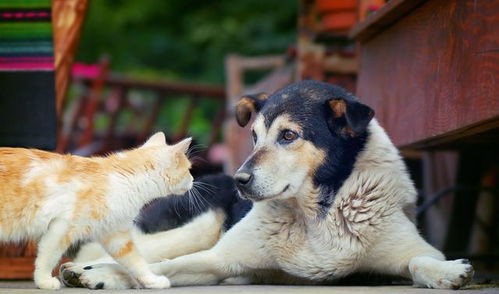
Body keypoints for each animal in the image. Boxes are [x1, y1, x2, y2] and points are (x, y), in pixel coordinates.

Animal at [0, 133, 193, 290]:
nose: (193, 179)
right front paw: (44, 281)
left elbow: (136, 262)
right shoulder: (61, 228)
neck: (124, 178)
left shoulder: (116, 236)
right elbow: (48, 257)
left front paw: (152, 280)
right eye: (189, 169)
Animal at [57, 80, 472, 290]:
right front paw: (104, 275)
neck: (316, 216)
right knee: (113, 250)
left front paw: (449, 272)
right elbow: (161, 267)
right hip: (200, 225)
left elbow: (420, 260)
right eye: (255, 137)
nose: (241, 180)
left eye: (288, 135)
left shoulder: (414, 249)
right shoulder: (217, 258)